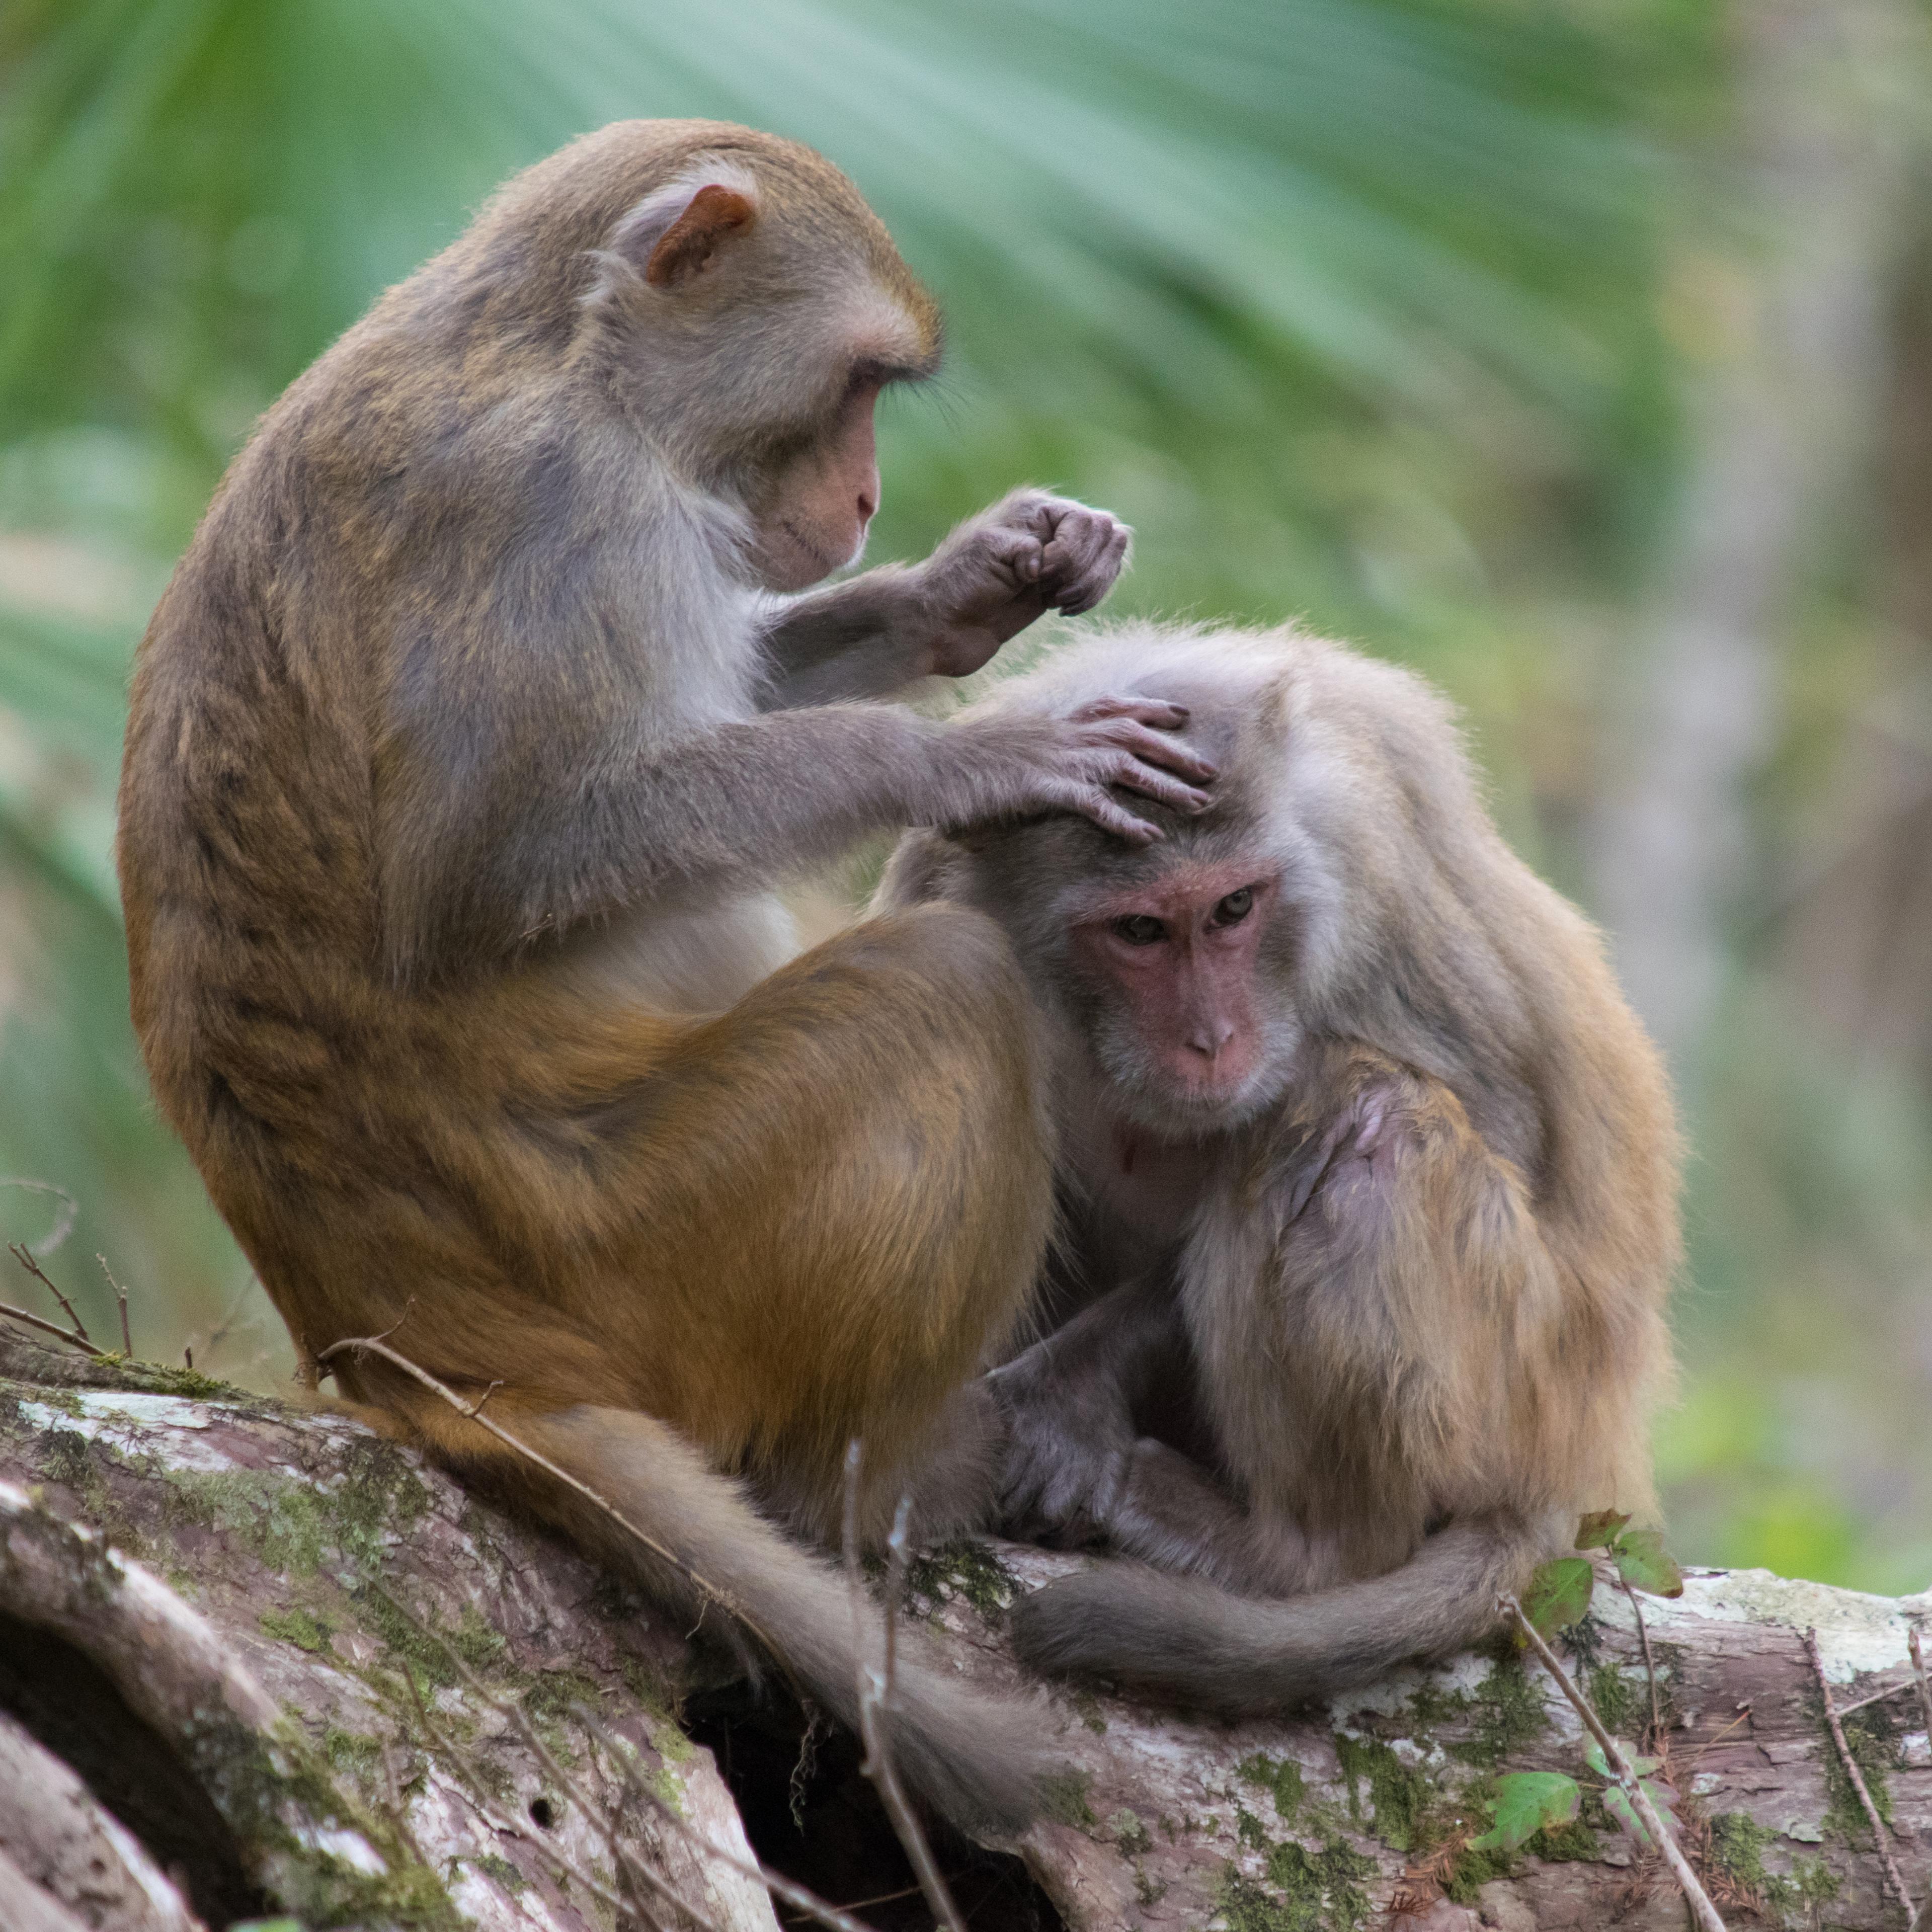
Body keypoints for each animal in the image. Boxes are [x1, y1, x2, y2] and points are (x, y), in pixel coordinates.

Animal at [114, 119, 1220, 1829]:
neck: (568, 361)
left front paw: (971, 587)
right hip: (658, 1252)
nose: (865, 493)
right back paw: (884, 1483)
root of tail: (421, 1359)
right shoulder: (548, 510)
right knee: (942, 989)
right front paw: (958, 757)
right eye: (853, 385)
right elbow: (496, 871)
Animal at [875, 621, 1681, 1715]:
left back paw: (1293, 1558)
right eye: (1140, 930)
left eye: (1232, 910)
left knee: (1360, 1116)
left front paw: (1072, 1389)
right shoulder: (938, 881)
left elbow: (1510, 1129)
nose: (1212, 1040)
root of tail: (1583, 1460)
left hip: (1522, 1383)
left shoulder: (1377, 871)